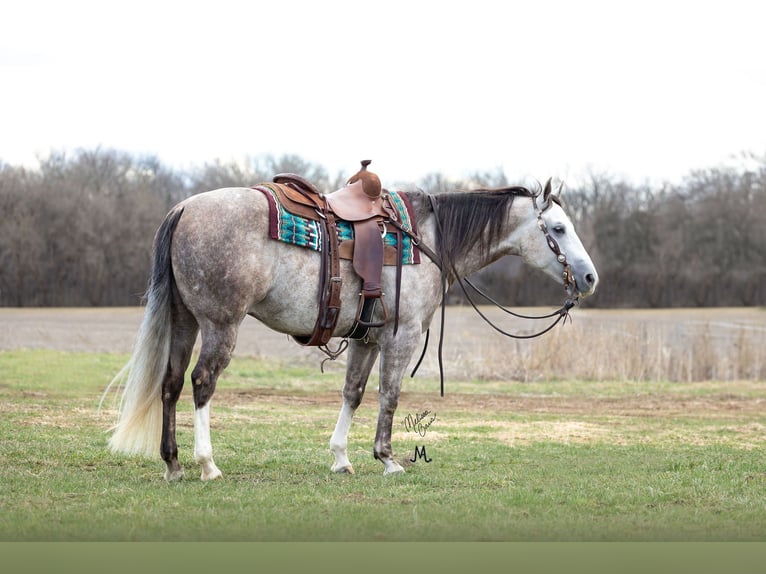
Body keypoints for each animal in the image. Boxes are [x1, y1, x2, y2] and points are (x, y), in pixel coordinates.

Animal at [105, 177, 600, 482]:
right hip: (220, 325)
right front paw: (388, 459)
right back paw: (206, 464)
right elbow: (389, 396)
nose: (590, 277)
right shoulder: (402, 336)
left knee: (170, 384)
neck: (427, 240)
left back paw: (173, 464)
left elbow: (353, 393)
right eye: (558, 228)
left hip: (185, 321)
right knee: (202, 382)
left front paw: (341, 458)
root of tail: (185, 208)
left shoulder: (367, 338)